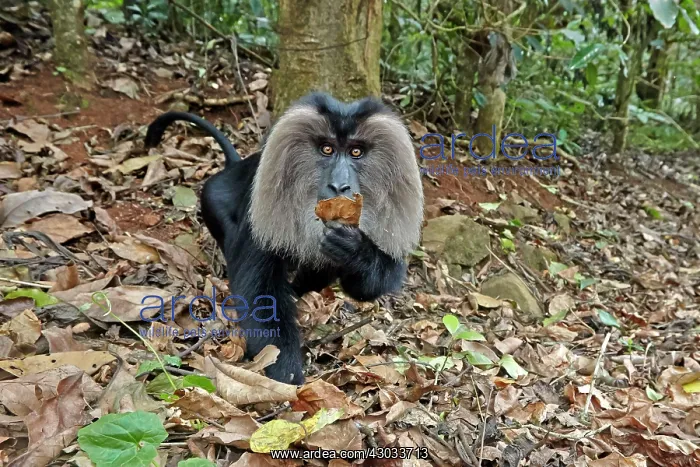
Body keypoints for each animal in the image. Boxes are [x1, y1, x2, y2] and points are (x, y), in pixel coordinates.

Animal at [144, 93, 424, 385]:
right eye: (327, 149)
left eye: (355, 152)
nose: (339, 186)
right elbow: (260, 294)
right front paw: (287, 375)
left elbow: (367, 286)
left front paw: (355, 250)